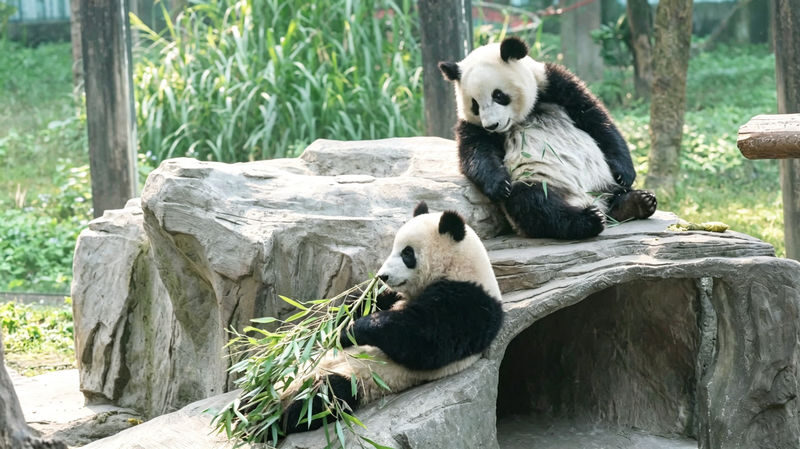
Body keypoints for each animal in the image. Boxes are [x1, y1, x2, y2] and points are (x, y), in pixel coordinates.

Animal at [282, 201, 503, 434]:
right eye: (394, 249)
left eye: (407, 253)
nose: (382, 276)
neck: (459, 266)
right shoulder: (390, 294)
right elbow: (362, 303)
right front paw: (330, 327)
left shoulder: (470, 305)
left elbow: (426, 340)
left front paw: (349, 332)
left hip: (358, 380)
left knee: (319, 400)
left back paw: (282, 414)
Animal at [438, 36, 657, 240]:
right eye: (475, 104)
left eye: (498, 95)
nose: (492, 125)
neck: (524, 115)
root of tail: (592, 201)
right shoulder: (472, 125)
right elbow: (476, 153)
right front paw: (499, 185)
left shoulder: (553, 84)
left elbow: (598, 120)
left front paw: (624, 173)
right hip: (540, 181)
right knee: (534, 204)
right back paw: (589, 219)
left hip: (602, 180)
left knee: (614, 195)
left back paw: (637, 202)